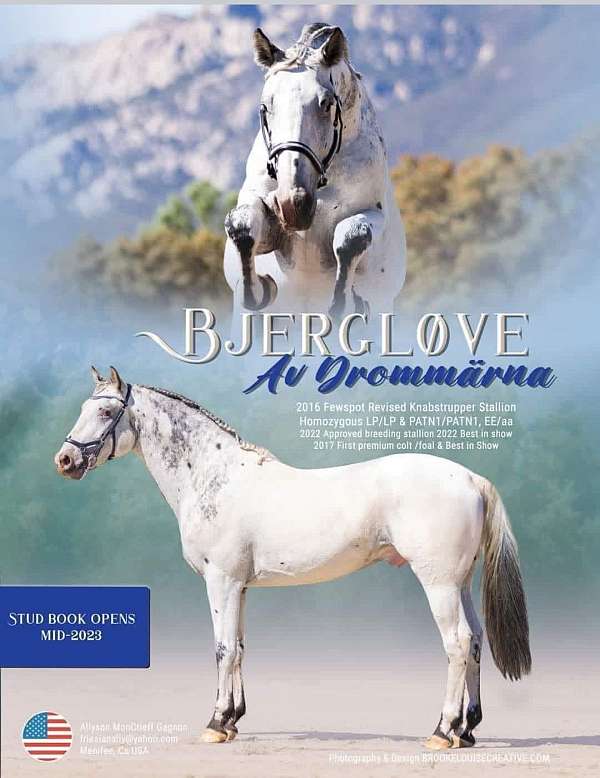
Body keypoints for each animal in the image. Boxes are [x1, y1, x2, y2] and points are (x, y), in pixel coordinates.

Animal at [55, 367, 531, 749]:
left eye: (105, 413)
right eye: (84, 407)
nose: (65, 459)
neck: (214, 477)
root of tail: (469, 478)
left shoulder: (220, 580)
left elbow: (221, 648)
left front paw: (215, 723)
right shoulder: (240, 586)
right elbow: (239, 647)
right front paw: (233, 720)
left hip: (439, 584)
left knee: (456, 644)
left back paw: (442, 731)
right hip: (460, 583)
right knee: (475, 640)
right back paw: (466, 730)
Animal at [223, 23, 406, 319]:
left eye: (326, 104)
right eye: (266, 105)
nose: (293, 204)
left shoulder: (373, 218)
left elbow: (352, 236)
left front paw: (347, 302)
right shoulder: (272, 227)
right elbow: (241, 225)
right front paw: (260, 288)